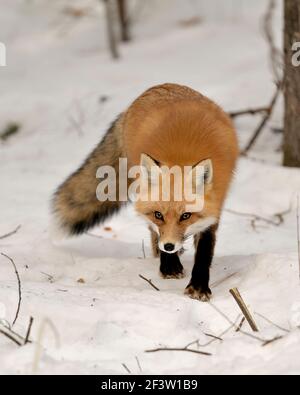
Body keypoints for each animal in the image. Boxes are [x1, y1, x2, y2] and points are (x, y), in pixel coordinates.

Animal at [52, 83, 239, 300]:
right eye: (158, 215)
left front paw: (199, 285)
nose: (169, 246)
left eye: (185, 216)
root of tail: (160, 86)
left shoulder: (214, 209)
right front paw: (170, 266)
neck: (181, 157)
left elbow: (204, 251)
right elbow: (157, 231)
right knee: (151, 233)